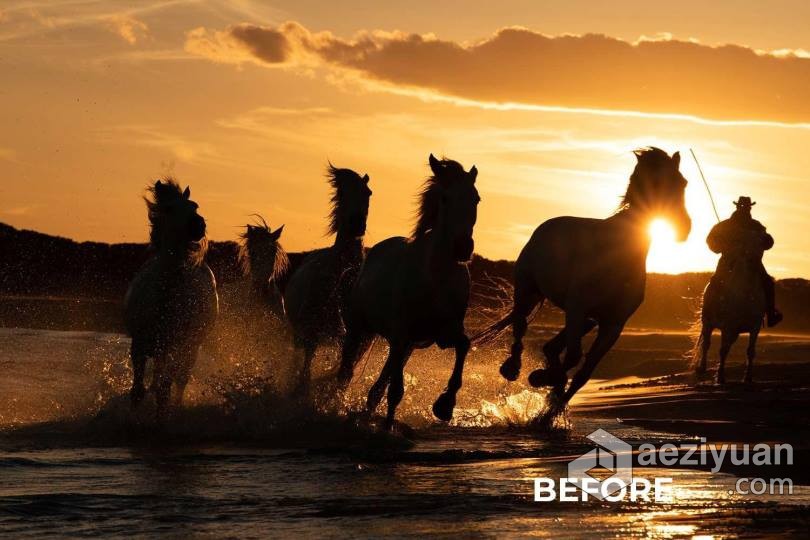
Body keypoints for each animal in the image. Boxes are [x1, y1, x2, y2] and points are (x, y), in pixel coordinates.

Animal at [123, 178, 218, 422]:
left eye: (195, 206)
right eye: (168, 208)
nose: (198, 225)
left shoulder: (179, 346)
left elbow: (165, 387)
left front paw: (161, 420)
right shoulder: (140, 345)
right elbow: (138, 390)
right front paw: (131, 419)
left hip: (189, 349)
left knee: (179, 380)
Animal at [282, 165, 370, 392]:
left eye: (368, 193)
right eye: (342, 192)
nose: (357, 224)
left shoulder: (357, 339)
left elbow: (345, 371)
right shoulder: (311, 330)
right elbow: (307, 365)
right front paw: (301, 388)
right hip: (298, 332)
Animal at [336, 154, 476, 428]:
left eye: (476, 198)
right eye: (445, 198)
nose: (463, 248)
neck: (435, 278)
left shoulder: (442, 333)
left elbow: (464, 346)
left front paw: (445, 405)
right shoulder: (401, 335)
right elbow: (395, 391)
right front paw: (387, 427)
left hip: (404, 345)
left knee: (379, 386)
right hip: (360, 330)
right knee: (347, 373)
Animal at [474, 147, 688, 426]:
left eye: (682, 183)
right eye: (652, 182)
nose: (684, 228)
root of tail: (545, 227)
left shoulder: (613, 324)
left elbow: (584, 372)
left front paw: (549, 411)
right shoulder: (578, 307)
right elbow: (574, 358)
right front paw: (542, 381)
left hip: (586, 318)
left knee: (554, 346)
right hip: (528, 292)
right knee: (521, 326)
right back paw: (513, 368)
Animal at [696, 239, 764, 384]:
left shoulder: (754, 327)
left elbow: (750, 351)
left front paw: (748, 377)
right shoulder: (728, 326)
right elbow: (723, 350)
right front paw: (720, 377)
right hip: (708, 323)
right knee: (706, 344)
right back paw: (701, 368)